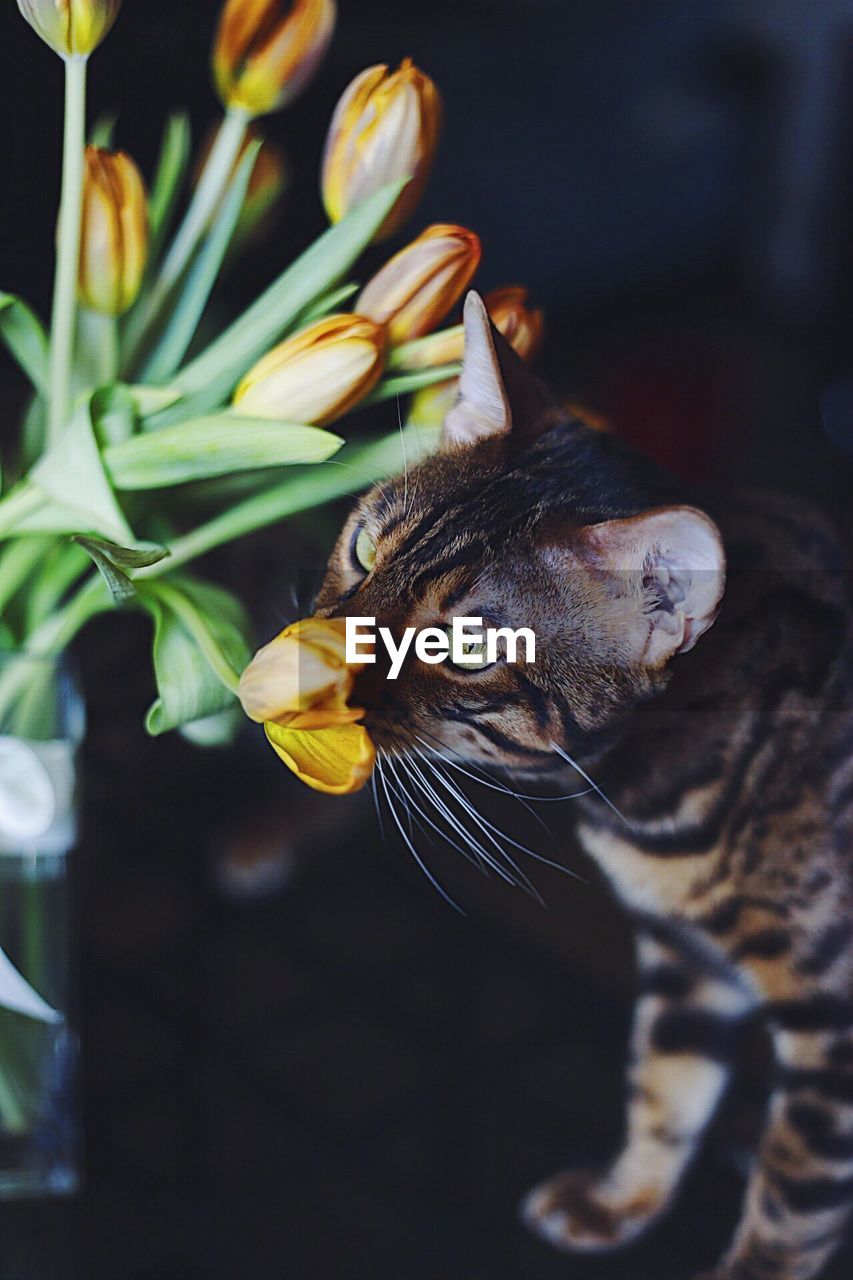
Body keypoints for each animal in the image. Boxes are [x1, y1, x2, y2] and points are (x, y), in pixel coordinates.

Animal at [313, 293, 850, 1280]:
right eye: (364, 544)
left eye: (467, 647)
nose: (312, 668)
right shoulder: (686, 959)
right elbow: (663, 1087)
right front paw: (617, 1202)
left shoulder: (833, 1029)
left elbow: (792, 1205)